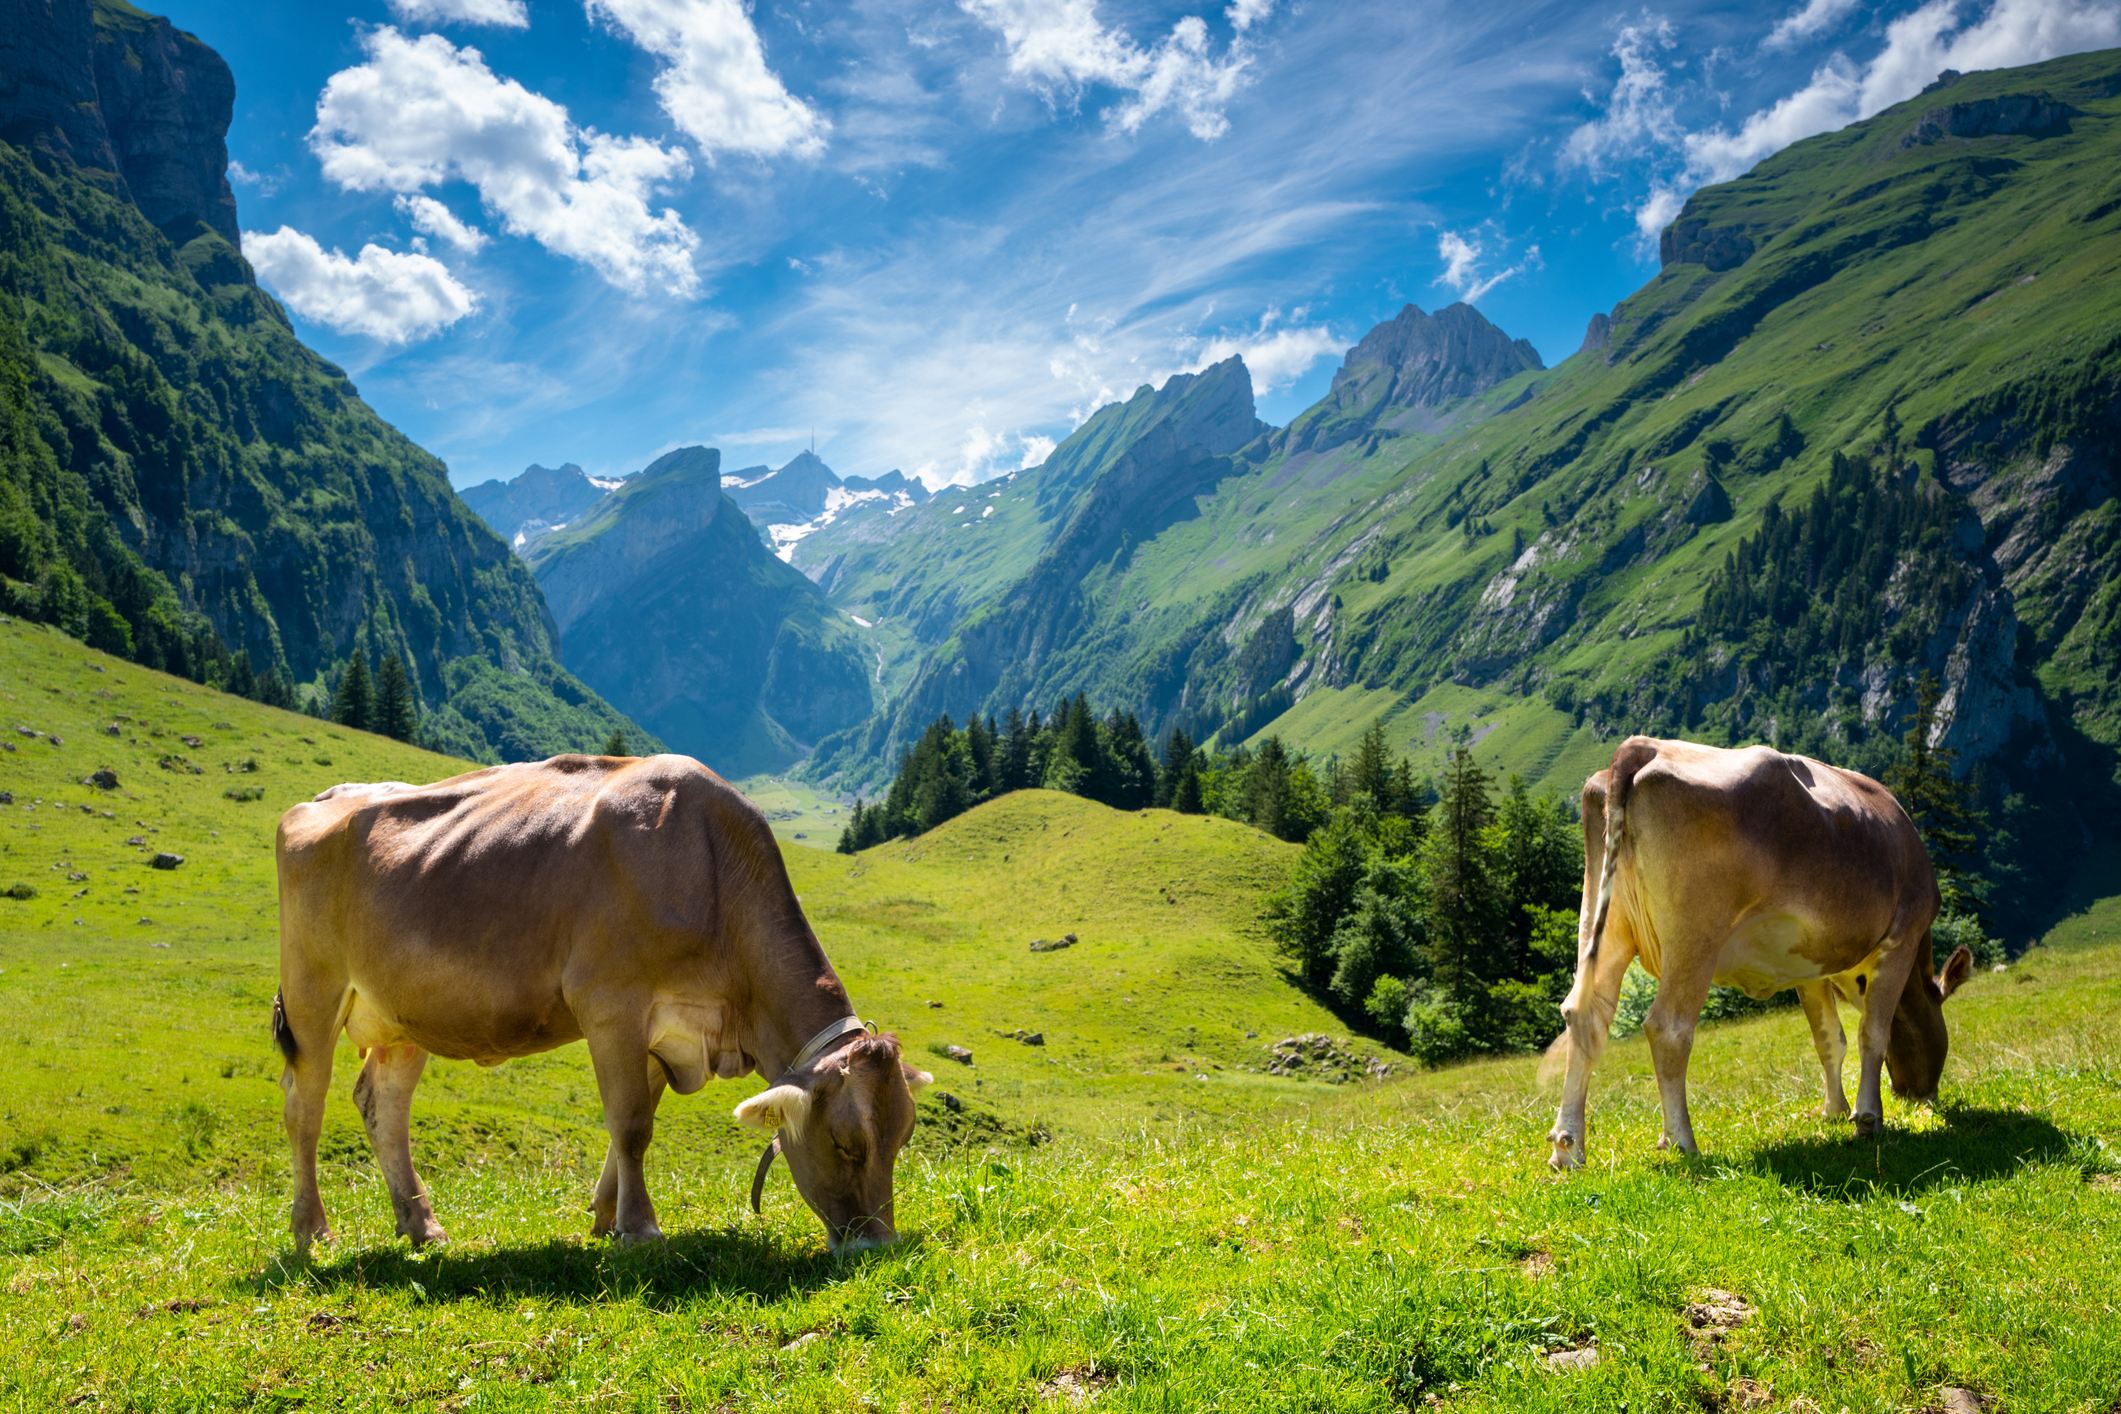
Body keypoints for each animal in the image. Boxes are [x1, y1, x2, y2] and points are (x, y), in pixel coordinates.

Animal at [273, 753, 931, 1252]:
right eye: (847, 1143)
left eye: (903, 1138)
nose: (878, 1246)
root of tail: (327, 796)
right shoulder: (611, 1003)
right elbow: (632, 1123)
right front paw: (640, 1229)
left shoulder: (667, 1032)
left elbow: (630, 1126)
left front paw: (606, 1216)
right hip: (312, 990)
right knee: (305, 1106)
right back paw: (313, 1232)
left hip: (403, 1014)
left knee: (382, 1105)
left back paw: (422, 1226)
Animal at [1547, 736, 1974, 1170]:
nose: (1918, 1095)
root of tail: (1645, 745)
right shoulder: (1903, 934)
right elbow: (1873, 1031)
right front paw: (1868, 1119)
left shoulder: (1813, 966)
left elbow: (1829, 1038)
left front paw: (1834, 1111)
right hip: (1694, 936)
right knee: (1668, 1027)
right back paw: (1683, 1142)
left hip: (1602, 920)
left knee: (1584, 1015)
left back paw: (1568, 1149)